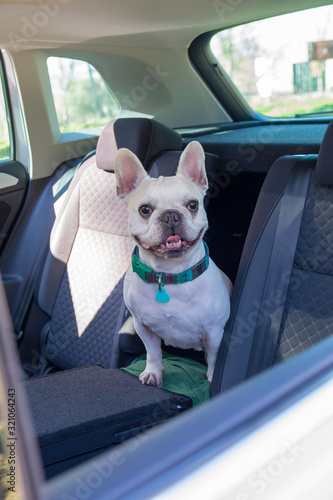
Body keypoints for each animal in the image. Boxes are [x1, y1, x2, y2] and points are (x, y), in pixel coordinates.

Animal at [114, 141, 231, 386]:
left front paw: (213, 378)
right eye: (145, 209)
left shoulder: (214, 333)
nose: (171, 215)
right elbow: (153, 352)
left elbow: (214, 358)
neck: (169, 276)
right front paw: (153, 372)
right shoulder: (142, 326)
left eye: (193, 205)